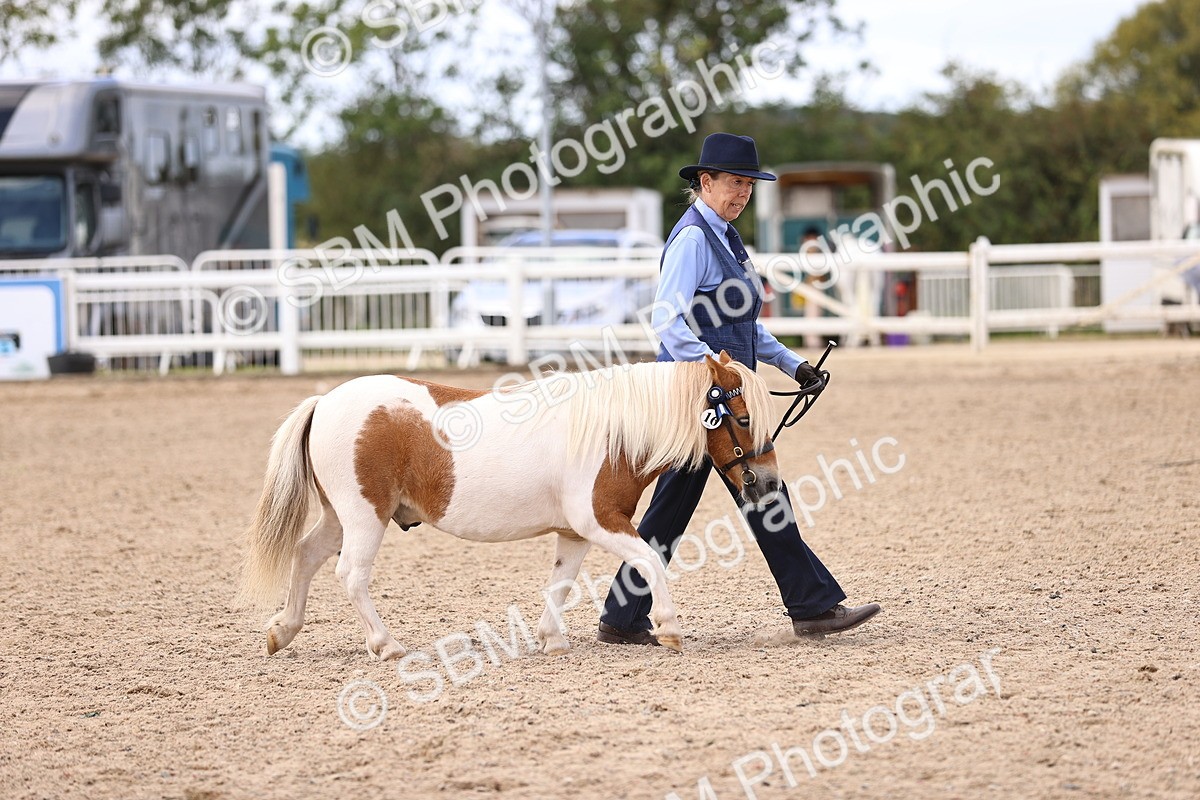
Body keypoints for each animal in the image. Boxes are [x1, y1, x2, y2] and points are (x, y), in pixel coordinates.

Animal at [240, 351, 781, 659]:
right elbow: (649, 559)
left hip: (339, 518)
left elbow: (561, 582)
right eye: (745, 418)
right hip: (364, 516)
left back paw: (282, 631)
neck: (613, 430)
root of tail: (325, 401)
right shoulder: (601, 521)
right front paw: (669, 628)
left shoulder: (575, 533)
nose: (768, 482)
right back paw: (386, 645)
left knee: (306, 555)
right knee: (350, 574)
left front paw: (552, 640)